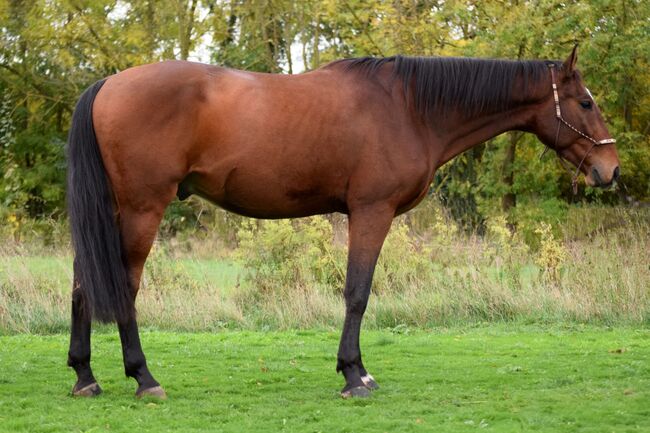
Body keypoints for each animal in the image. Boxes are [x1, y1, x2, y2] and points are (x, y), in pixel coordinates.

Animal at [66, 44, 616, 398]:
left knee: (82, 284)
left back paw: (85, 377)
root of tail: (106, 84)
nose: (610, 170)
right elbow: (357, 291)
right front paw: (355, 375)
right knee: (124, 286)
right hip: (142, 209)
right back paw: (144, 378)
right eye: (585, 102)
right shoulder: (371, 212)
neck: (408, 107)